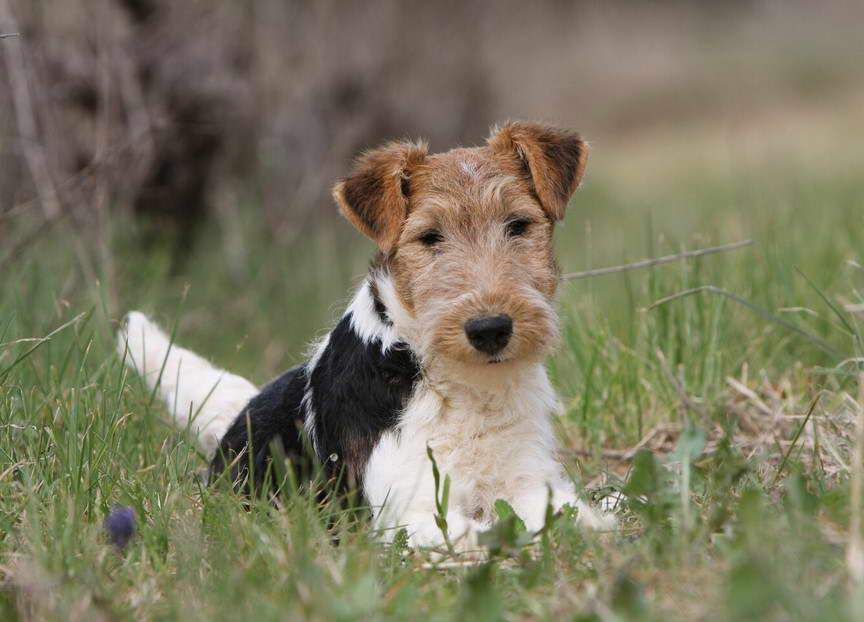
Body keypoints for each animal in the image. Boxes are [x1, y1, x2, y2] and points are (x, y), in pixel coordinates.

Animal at [120, 122, 616, 552]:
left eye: (518, 224)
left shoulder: (527, 482)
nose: (490, 328)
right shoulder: (411, 512)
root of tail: (238, 416)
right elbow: (485, 534)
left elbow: (567, 516)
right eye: (429, 236)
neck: (463, 386)